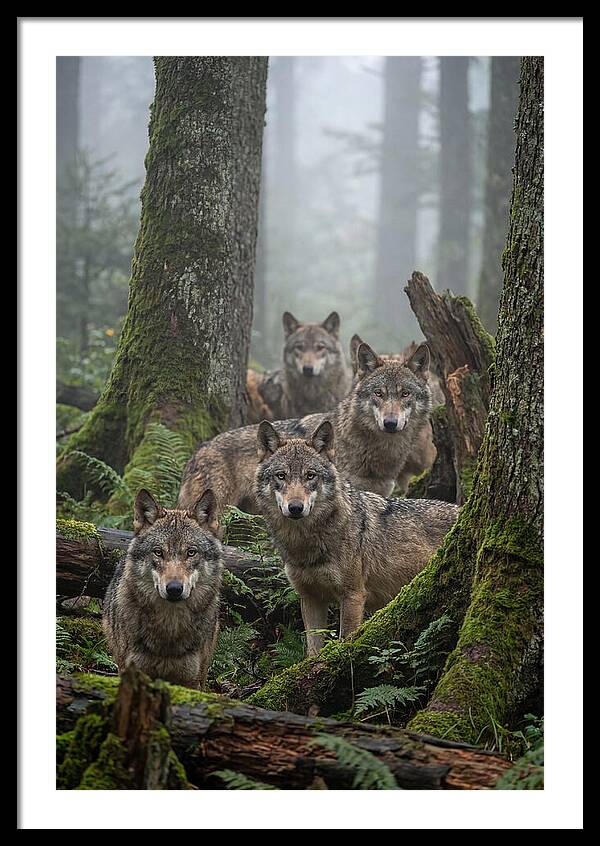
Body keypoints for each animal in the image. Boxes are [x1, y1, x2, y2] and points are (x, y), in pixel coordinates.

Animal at [255, 420, 459, 655]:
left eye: (310, 475)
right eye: (281, 475)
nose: (295, 508)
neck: (305, 544)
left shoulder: (353, 595)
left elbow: (345, 640)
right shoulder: (310, 597)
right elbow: (312, 650)